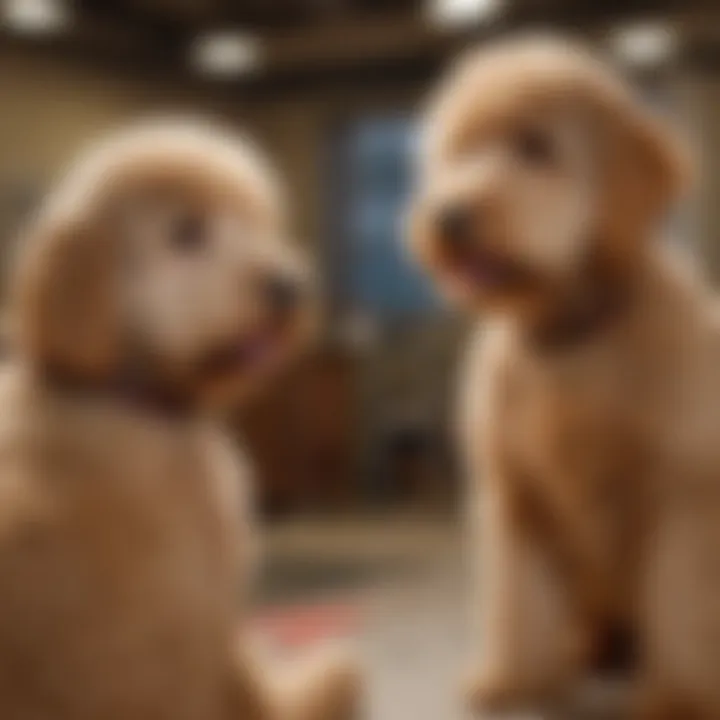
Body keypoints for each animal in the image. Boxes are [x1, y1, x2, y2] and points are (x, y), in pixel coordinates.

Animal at [0, 122, 360, 720]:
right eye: (186, 232)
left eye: (257, 220)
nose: (289, 286)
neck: (136, 401)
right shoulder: (180, 625)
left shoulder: (210, 627)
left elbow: (247, 686)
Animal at [408, 35, 720, 720]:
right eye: (459, 149)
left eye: (535, 146)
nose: (448, 216)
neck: (568, 337)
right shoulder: (514, 495)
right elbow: (517, 601)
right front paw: (515, 678)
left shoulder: (686, 494)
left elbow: (684, 603)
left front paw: (680, 694)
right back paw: (583, 651)